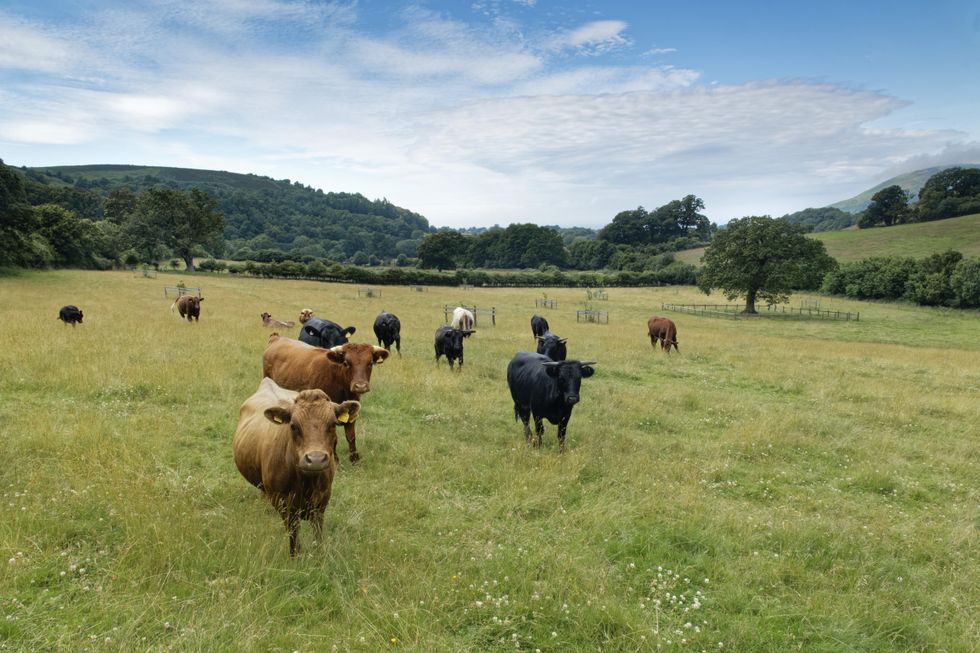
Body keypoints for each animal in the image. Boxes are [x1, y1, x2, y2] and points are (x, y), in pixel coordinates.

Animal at [232, 377, 360, 557]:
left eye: (333, 424)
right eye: (293, 426)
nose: (315, 459)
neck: (306, 482)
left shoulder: (323, 499)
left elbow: (318, 530)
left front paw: (319, 553)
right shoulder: (283, 503)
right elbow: (293, 533)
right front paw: (296, 556)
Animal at [262, 334, 389, 463]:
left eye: (370, 363)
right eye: (346, 363)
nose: (360, 386)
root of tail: (277, 337)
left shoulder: (352, 411)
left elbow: (351, 436)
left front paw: (354, 459)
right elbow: (334, 439)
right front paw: (336, 460)